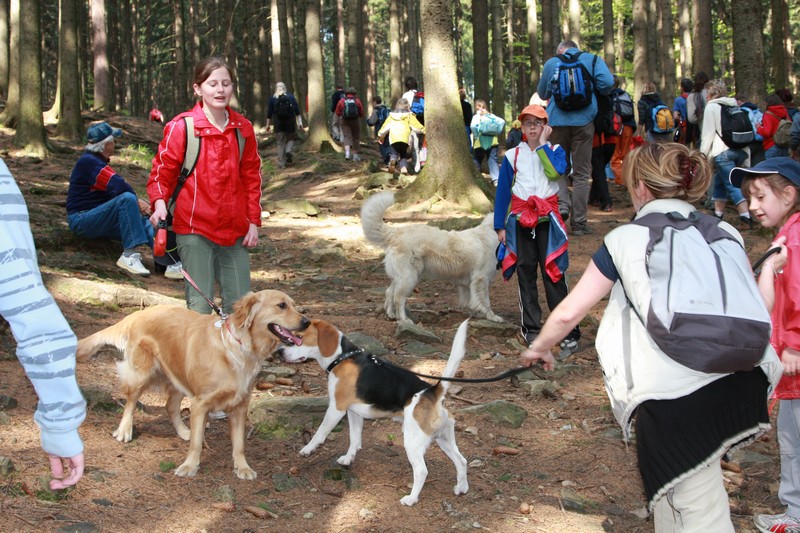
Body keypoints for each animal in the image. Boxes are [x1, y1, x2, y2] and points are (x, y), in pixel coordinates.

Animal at [360, 192, 500, 324]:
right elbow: (485, 301)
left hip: (400, 277)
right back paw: (404, 320)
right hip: (409, 277)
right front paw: (492, 317)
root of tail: (395, 233)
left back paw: (391, 315)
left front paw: (475, 314)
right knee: (398, 298)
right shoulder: (481, 279)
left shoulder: (468, 282)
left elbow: (470, 300)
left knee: (389, 292)